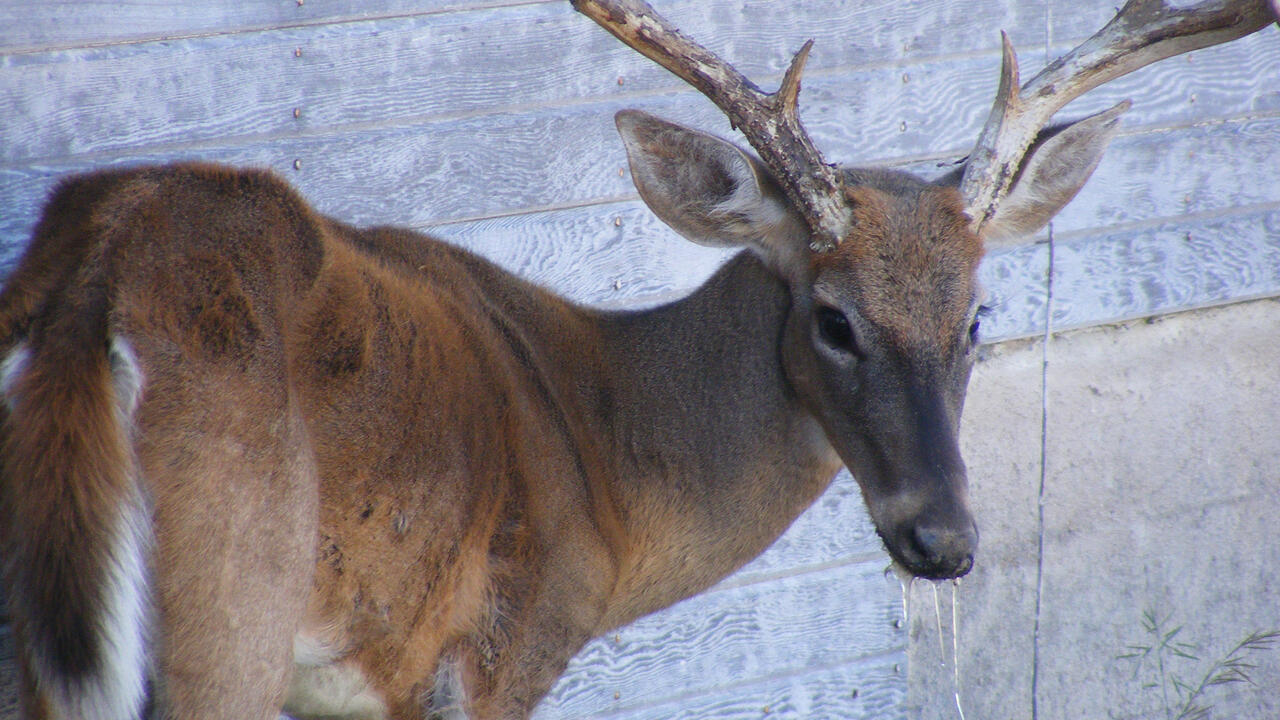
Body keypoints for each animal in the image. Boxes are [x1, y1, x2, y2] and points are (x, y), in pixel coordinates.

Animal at [0, 0, 1271, 718]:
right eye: (832, 318)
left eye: (976, 313)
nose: (943, 541)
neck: (605, 465)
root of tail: (97, 282)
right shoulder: (488, 658)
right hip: (230, 601)